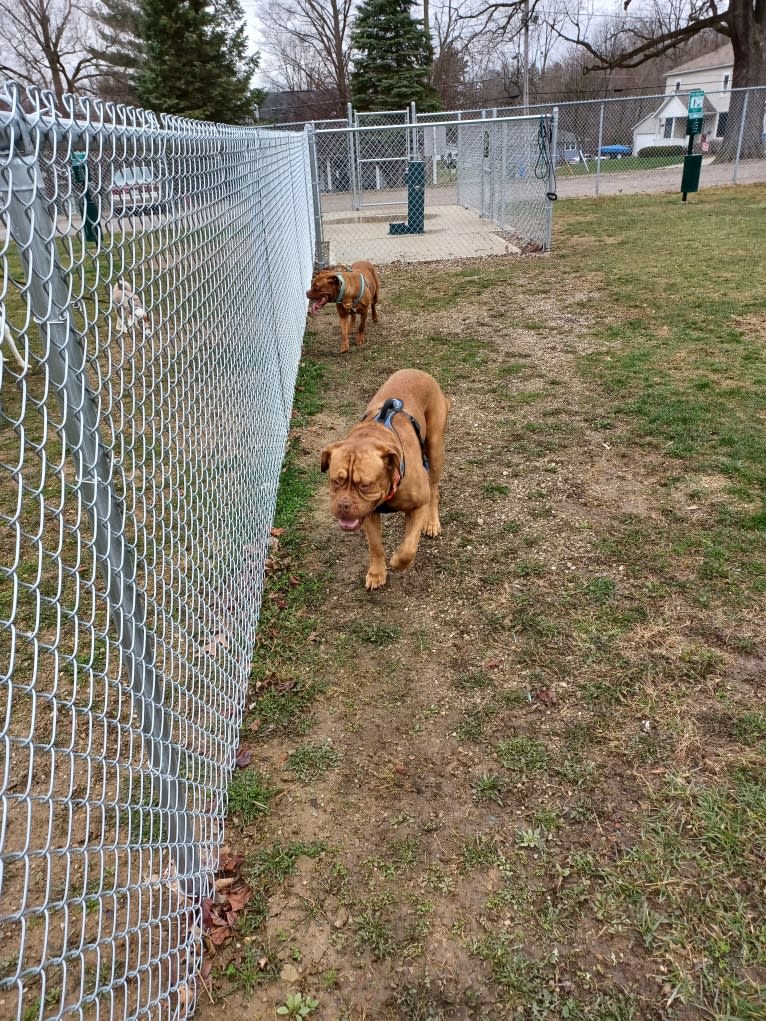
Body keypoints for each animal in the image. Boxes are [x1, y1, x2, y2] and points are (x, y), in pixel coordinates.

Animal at [318, 369, 449, 592]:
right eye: (335, 481)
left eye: (365, 485)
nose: (343, 505)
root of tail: (417, 371)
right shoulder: (368, 513)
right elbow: (376, 546)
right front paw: (377, 573)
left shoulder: (418, 506)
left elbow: (408, 548)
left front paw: (397, 561)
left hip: (435, 450)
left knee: (434, 490)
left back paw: (432, 522)